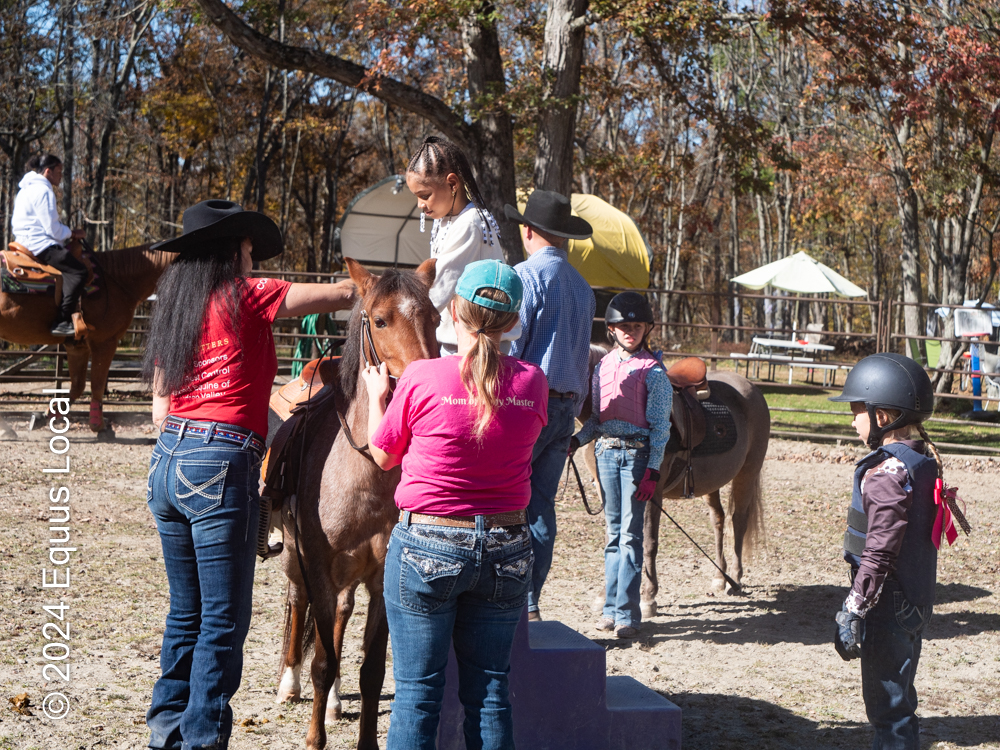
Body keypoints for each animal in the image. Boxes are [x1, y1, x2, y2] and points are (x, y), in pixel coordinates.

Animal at [0, 244, 173, 438]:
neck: (115, 281)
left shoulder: (77, 347)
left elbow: (78, 386)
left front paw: (43, 417)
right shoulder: (105, 342)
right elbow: (97, 385)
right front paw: (99, 426)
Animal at [278, 258, 442, 750]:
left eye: (435, 318)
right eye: (381, 320)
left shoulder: (382, 576)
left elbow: (370, 671)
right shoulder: (316, 565)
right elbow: (323, 662)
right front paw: (314, 736)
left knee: (341, 613)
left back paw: (333, 702)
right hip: (295, 558)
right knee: (297, 602)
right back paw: (289, 683)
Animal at [576, 356, 768, 620]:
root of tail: (751, 388)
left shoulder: (649, 492)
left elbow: (648, 542)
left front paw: (647, 599)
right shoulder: (607, 490)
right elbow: (612, 538)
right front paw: (605, 596)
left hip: (747, 473)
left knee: (738, 521)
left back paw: (736, 579)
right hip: (712, 482)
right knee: (718, 519)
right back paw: (720, 577)